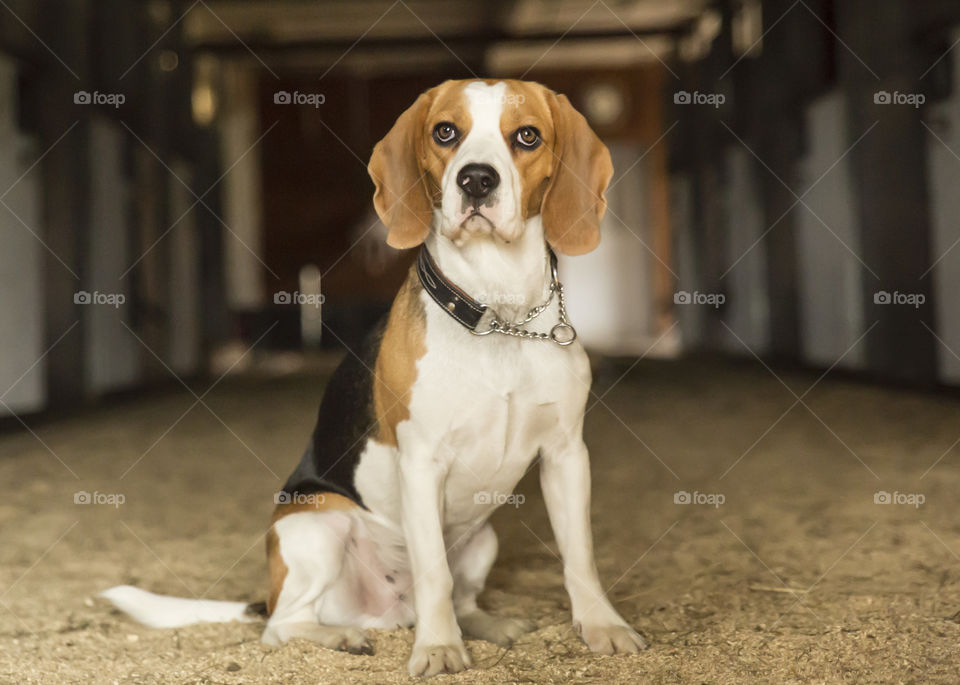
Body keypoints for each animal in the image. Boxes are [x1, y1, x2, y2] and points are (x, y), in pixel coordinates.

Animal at [103, 79, 644, 672]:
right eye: (445, 132)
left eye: (527, 136)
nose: (476, 179)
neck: (498, 317)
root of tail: (390, 610)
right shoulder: (422, 461)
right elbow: (434, 573)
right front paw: (438, 648)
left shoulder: (566, 454)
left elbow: (580, 557)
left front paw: (602, 626)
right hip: (317, 527)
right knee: (281, 626)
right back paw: (342, 636)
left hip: (483, 540)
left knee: (462, 597)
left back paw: (486, 625)